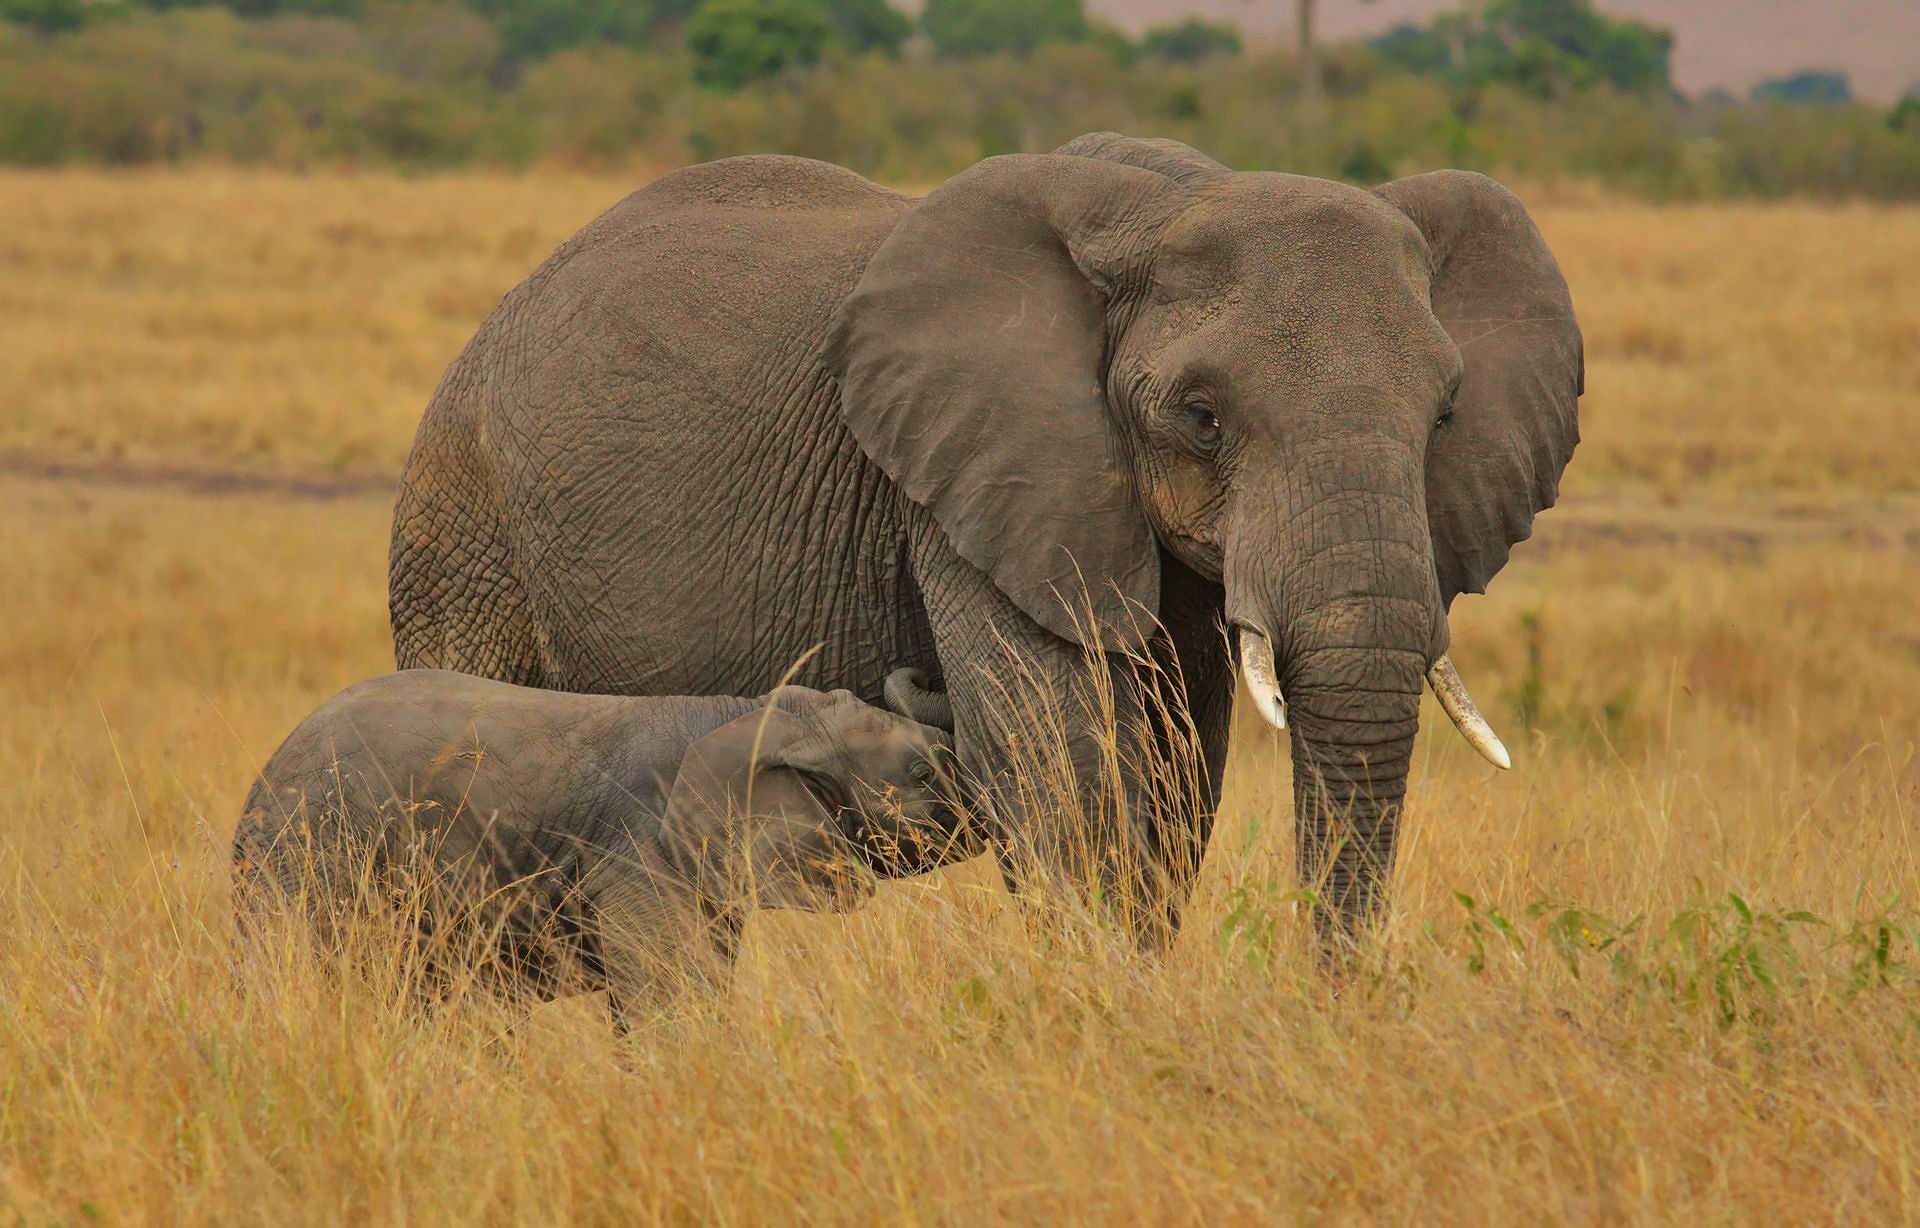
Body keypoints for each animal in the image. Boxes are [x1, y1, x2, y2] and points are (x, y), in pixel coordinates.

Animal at [387, 131, 1582, 944]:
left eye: (1444, 417)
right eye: (1201, 417)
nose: (1329, 997)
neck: (1170, 199)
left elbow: (1174, 770)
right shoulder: (973, 482)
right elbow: (1062, 757)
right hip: (459, 516)